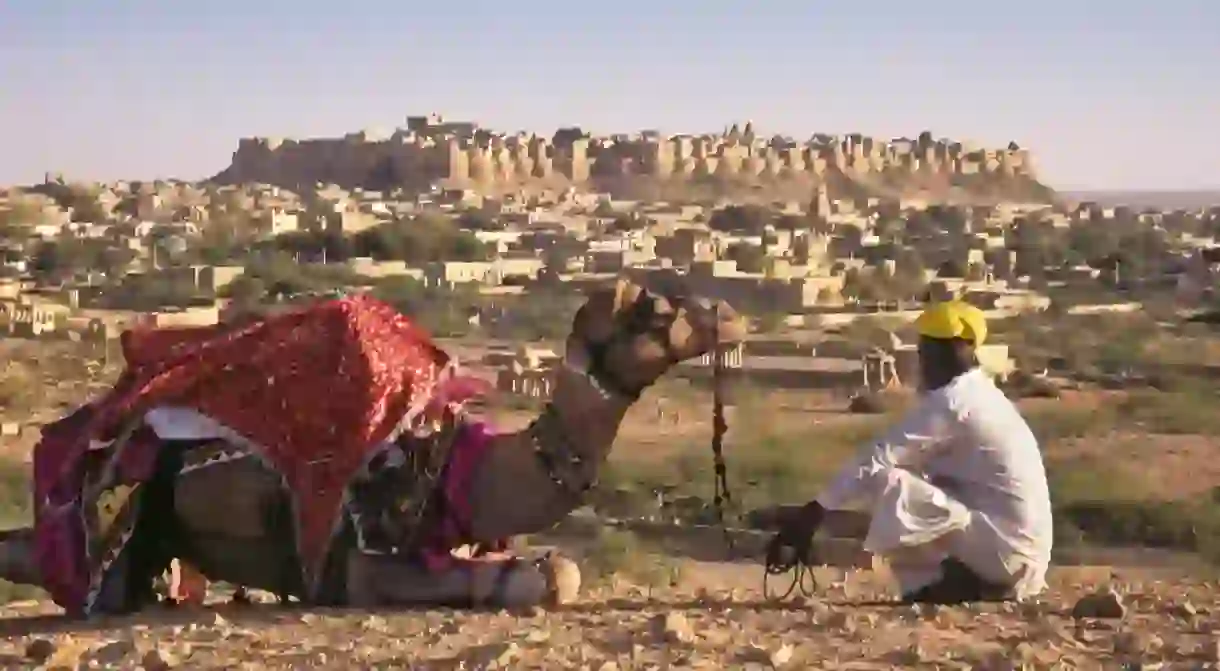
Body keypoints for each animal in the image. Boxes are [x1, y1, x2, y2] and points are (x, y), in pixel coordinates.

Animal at [0, 280, 741, 619]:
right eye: (652, 309)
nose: (727, 315)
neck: (462, 471)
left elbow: (558, 569)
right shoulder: (362, 566)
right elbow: (537, 576)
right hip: (131, 513)